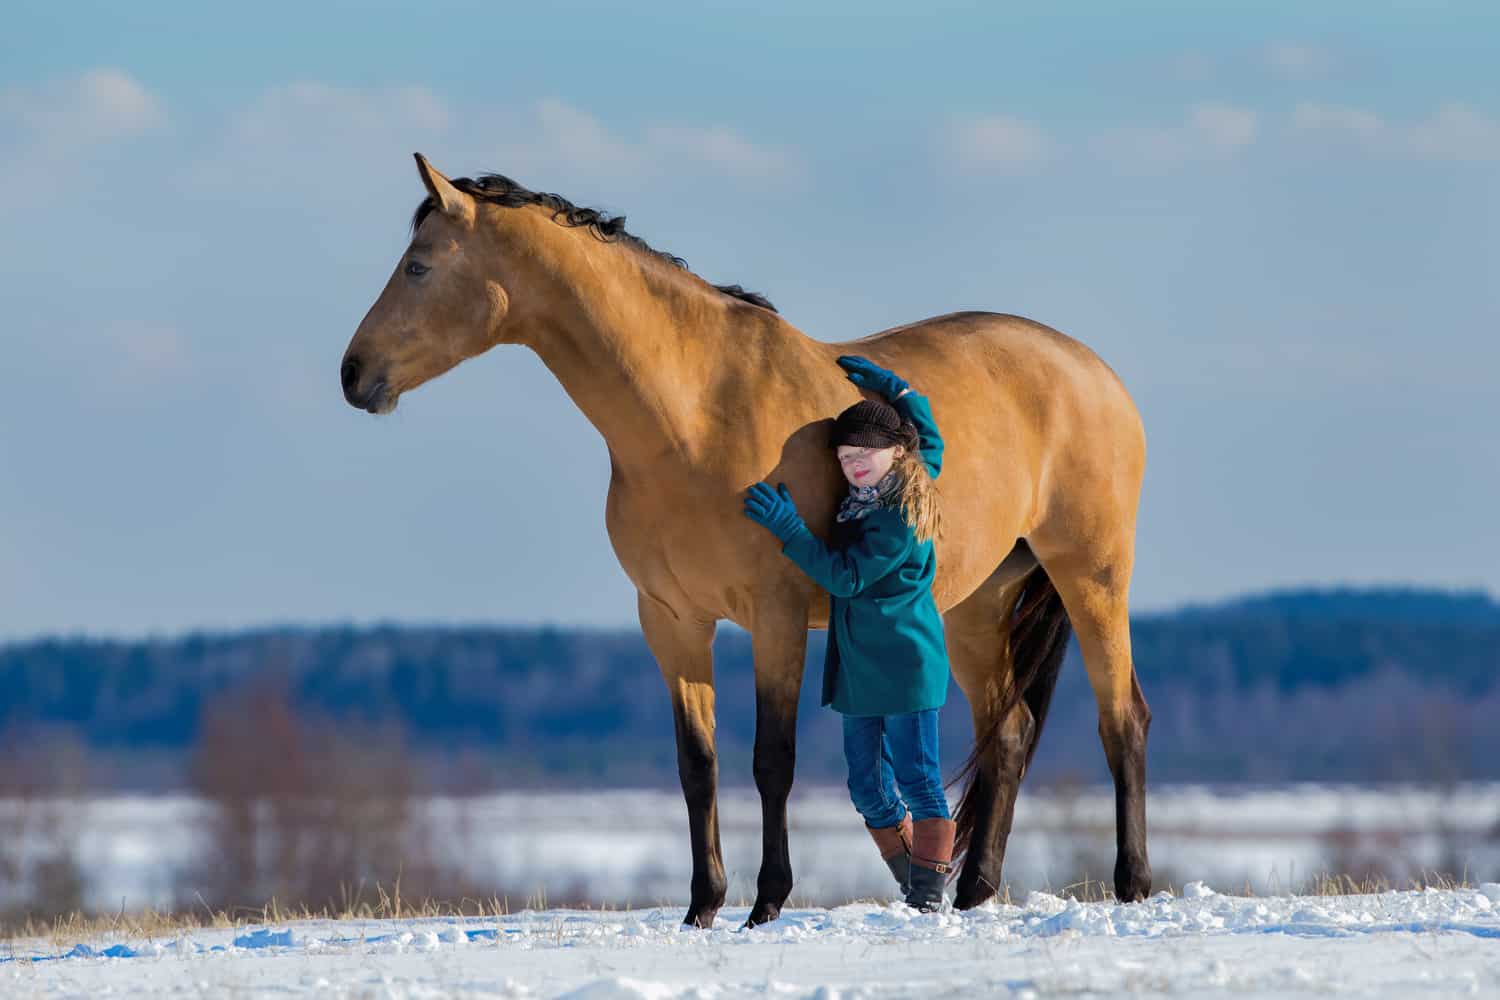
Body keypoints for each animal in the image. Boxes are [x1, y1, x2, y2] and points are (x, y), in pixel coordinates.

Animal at [340, 154, 1152, 928]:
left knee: (1122, 722)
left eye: (418, 266)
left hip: (1092, 577)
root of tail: (1096, 372)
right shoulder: (671, 620)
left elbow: (773, 760)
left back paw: (1134, 885)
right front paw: (702, 905)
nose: (353, 375)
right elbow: (697, 765)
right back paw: (974, 893)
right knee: (1008, 731)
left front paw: (766, 904)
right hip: (976, 606)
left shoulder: (776, 616)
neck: (693, 414)